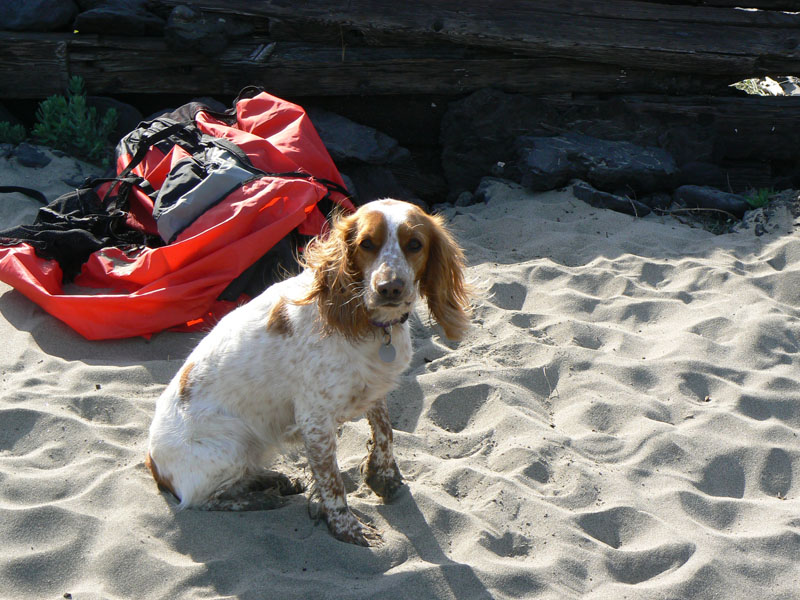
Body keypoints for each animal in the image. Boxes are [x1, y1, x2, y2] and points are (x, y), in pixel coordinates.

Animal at [145, 199, 468, 548]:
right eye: (366, 244)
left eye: (415, 244)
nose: (390, 288)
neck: (364, 320)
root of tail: (153, 462)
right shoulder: (314, 419)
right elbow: (332, 480)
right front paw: (347, 527)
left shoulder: (373, 387)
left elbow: (385, 431)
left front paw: (382, 476)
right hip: (232, 445)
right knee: (204, 499)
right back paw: (263, 496)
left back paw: (273, 479)